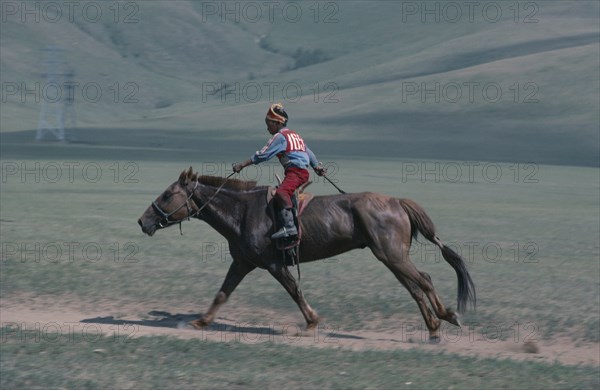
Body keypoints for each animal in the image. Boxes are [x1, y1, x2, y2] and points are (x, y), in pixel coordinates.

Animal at [138, 167, 476, 342]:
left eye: (168, 195)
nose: (143, 221)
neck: (242, 211)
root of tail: (397, 201)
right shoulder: (243, 263)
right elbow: (222, 293)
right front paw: (199, 322)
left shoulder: (273, 264)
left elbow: (294, 290)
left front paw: (312, 322)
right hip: (390, 258)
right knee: (416, 286)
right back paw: (434, 326)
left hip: (392, 256)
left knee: (424, 280)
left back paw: (446, 318)